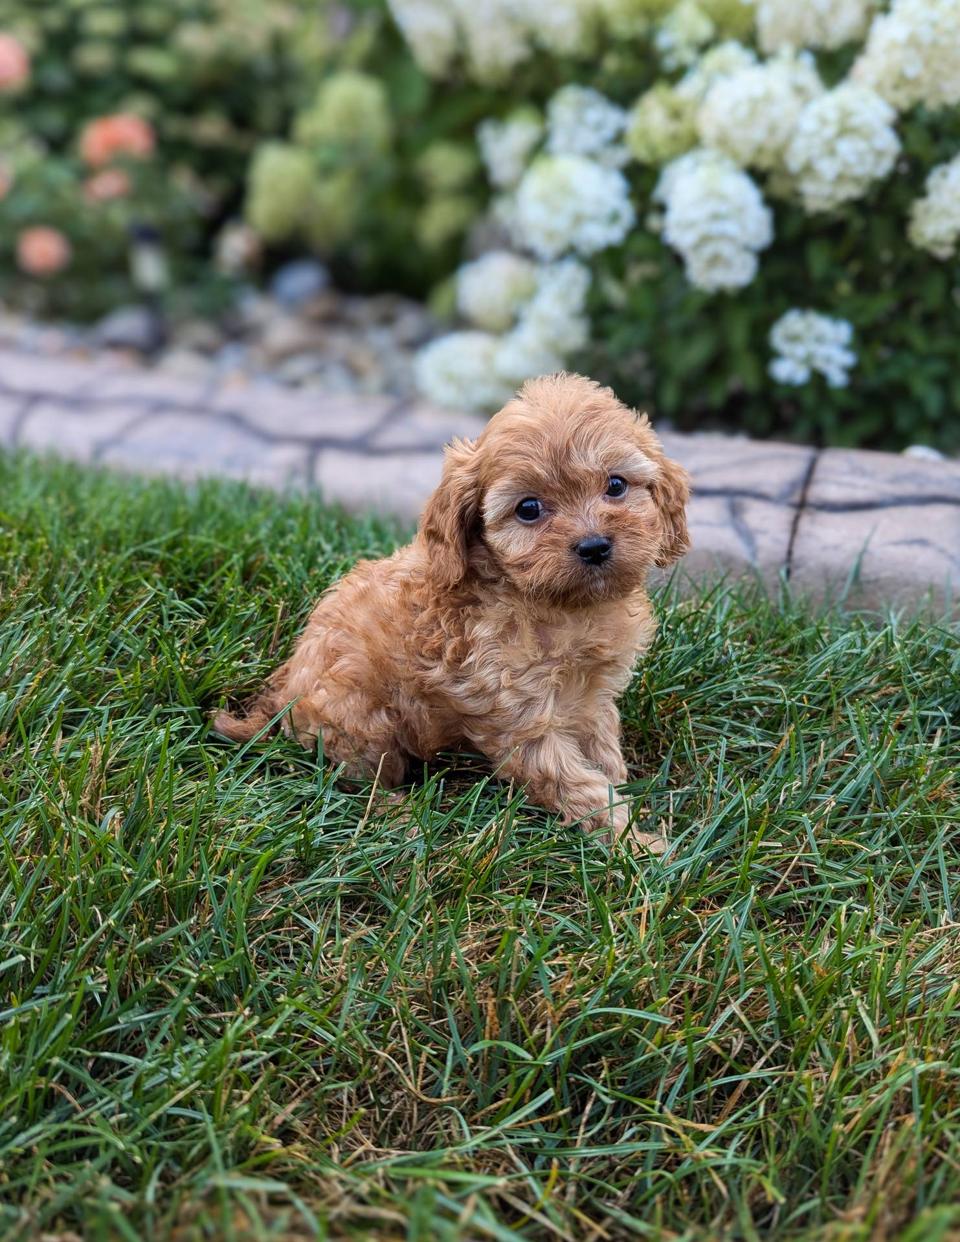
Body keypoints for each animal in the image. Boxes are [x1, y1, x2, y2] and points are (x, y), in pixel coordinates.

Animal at [213, 372, 685, 849]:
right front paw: (634, 844)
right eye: (529, 509)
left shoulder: (592, 699)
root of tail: (282, 696)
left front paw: (631, 806)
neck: (555, 605)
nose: (594, 546)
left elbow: (604, 753)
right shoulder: (520, 719)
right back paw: (401, 817)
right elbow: (577, 784)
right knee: (356, 781)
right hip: (360, 720)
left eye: (616, 485)